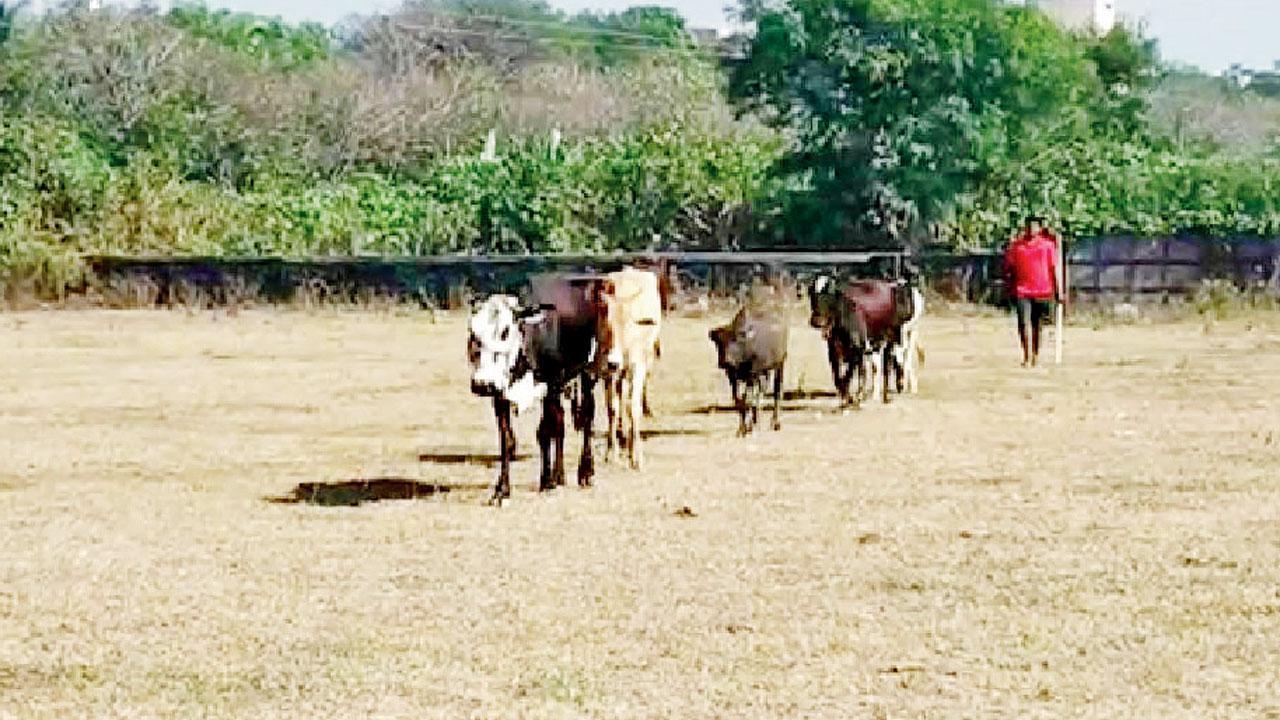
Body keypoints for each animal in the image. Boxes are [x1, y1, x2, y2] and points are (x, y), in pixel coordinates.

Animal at [467, 274, 602, 505]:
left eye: (505, 331)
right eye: (473, 333)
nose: (481, 383)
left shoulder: (551, 385)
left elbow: (545, 431)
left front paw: (547, 481)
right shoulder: (500, 394)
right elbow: (507, 441)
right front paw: (502, 490)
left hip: (587, 373)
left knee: (586, 418)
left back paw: (585, 472)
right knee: (561, 422)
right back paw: (560, 475)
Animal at [595, 267, 663, 470]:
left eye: (630, 323)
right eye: (607, 323)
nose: (613, 362)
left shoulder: (637, 367)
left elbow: (633, 407)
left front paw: (637, 457)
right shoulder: (606, 371)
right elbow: (612, 408)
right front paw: (611, 453)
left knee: (631, 402)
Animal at [708, 299, 789, 437]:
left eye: (735, 340)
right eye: (719, 343)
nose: (725, 362)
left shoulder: (752, 375)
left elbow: (749, 399)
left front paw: (749, 427)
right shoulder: (733, 378)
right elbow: (739, 400)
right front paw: (742, 428)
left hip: (780, 365)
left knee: (777, 392)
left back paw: (775, 423)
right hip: (764, 372)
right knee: (762, 391)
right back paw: (757, 419)